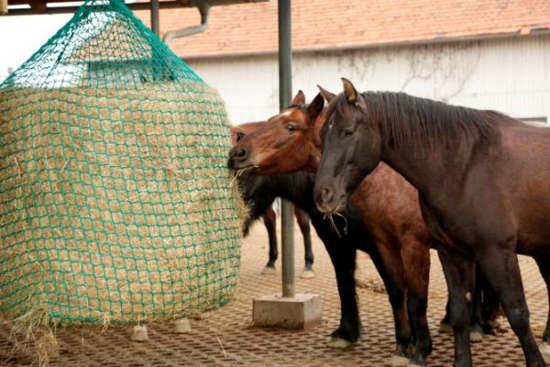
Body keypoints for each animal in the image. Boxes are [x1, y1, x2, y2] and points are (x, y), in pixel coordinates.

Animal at [314, 78, 550, 367]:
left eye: (348, 132)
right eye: (322, 136)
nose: (322, 195)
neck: (463, 166)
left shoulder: (496, 252)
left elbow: (517, 313)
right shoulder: (452, 253)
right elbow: (459, 313)